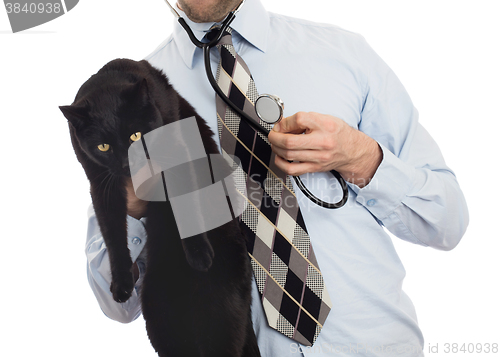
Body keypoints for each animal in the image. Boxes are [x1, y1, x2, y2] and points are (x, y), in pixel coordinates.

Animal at [60, 58, 260, 356]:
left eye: (135, 136)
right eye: (103, 146)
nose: (126, 164)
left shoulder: (178, 154)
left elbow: (184, 202)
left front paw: (199, 256)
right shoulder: (101, 183)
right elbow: (112, 234)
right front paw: (121, 283)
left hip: (219, 317)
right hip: (161, 315)